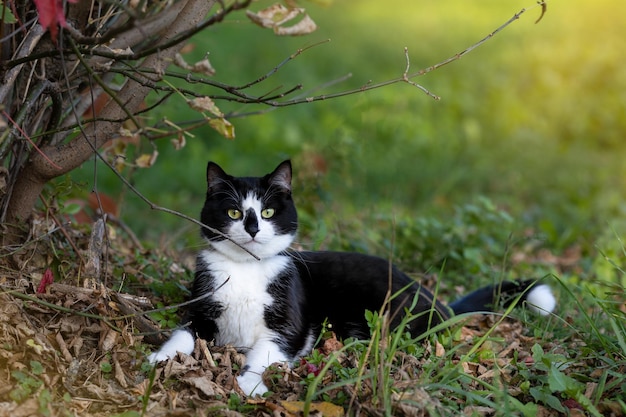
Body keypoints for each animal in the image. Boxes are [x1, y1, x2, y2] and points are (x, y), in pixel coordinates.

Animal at [147, 161, 556, 394]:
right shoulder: (203, 304)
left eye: (267, 211)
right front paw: (159, 358)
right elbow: (184, 332)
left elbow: (269, 350)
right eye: (233, 212)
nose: (251, 229)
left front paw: (248, 383)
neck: (247, 271)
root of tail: (432, 298)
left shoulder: (289, 323)